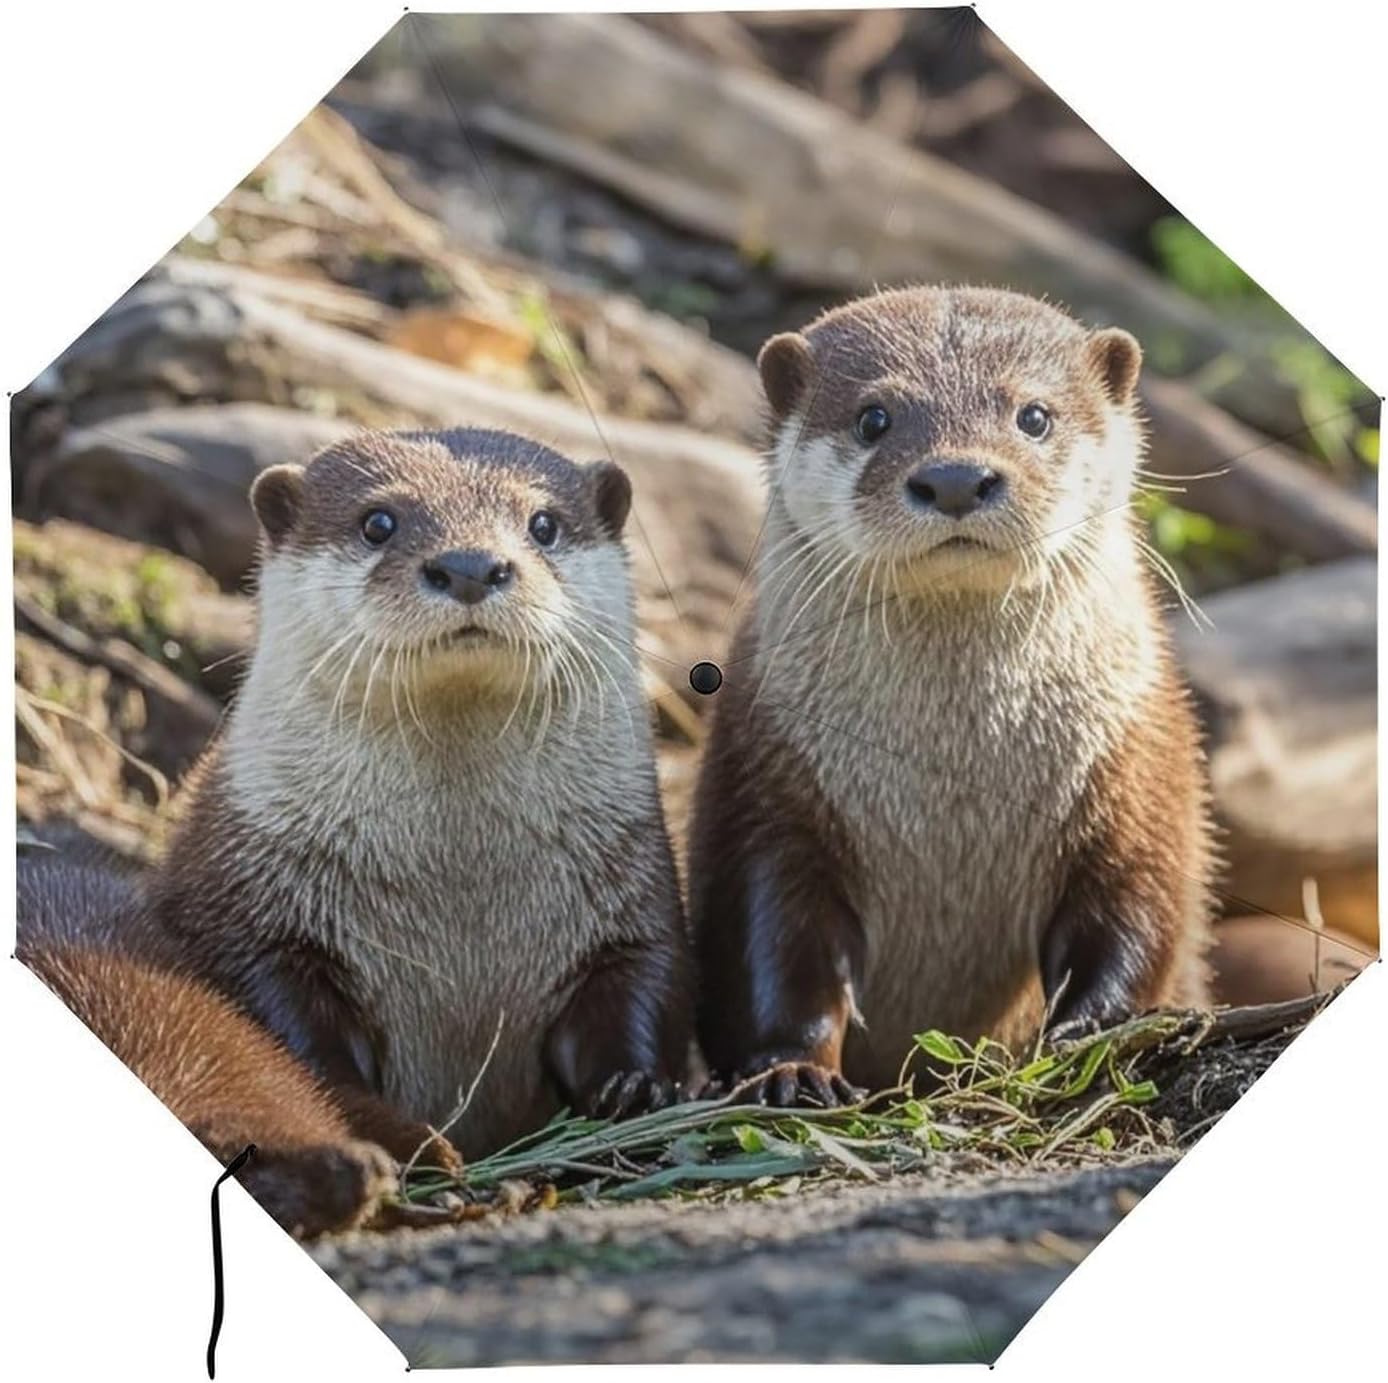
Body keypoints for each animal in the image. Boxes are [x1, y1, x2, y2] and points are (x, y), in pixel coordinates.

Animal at [25, 428, 692, 1196]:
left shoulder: (628, 881)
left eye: (544, 523)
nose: (470, 565)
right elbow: (289, 1030)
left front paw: (636, 1090)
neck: (460, 890)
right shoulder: (252, 905)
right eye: (378, 522)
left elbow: (639, 979)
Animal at [689, 286, 1214, 1104]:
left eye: (1034, 415)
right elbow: (774, 942)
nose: (959, 477)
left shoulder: (1139, 762)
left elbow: (1138, 903)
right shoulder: (768, 779)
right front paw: (793, 1068)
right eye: (874, 418)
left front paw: (1098, 1029)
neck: (954, 781)